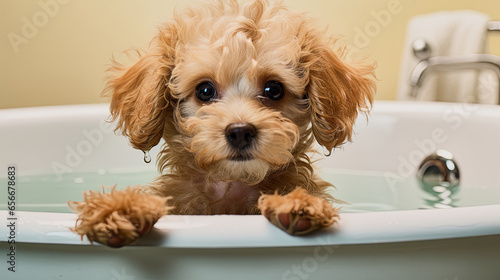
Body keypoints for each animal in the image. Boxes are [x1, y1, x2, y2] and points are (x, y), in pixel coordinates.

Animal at [69, 0, 376, 247]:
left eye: (274, 89)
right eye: (205, 90)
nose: (240, 132)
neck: (232, 184)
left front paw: (296, 203)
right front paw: (120, 210)